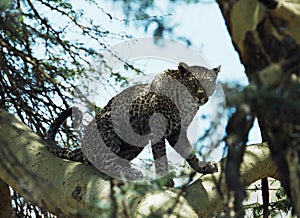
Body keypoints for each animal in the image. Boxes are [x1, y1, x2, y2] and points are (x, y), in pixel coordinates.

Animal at [47, 61, 220, 186]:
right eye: (194, 82)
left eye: (208, 84)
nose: (201, 96)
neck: (186, 103)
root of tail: (82, 147)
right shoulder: (158, 129)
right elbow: (160, 156)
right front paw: (164, 179)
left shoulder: (177, 132)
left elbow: (189, 153)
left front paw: (203, 167)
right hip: (109, 129)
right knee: (104, 163)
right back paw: (130, 173)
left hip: (135, 144)